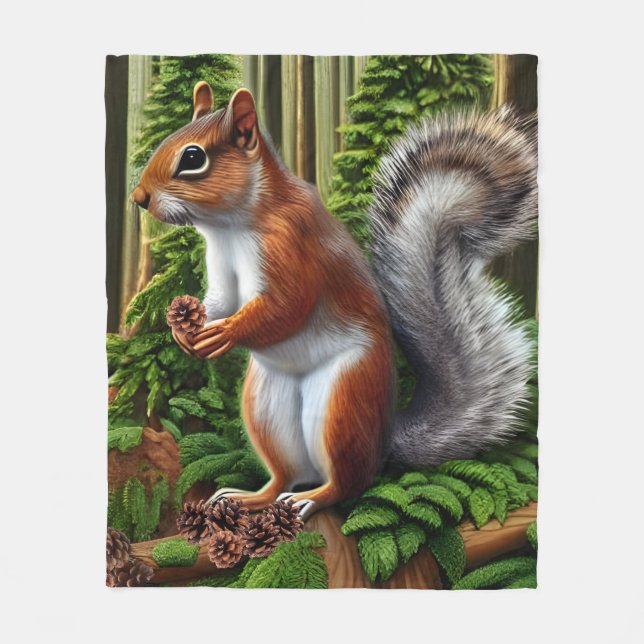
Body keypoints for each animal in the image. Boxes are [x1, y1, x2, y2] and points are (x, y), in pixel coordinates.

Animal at [131, 81, 537, 518]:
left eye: (193, 157)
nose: (138, 197)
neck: (230, 225)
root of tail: (383, 439)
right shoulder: (221, 268)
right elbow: (220, 301)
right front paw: (183, 329)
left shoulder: (292, 246)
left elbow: (287, 306)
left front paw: (227, 333)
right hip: (266, 405)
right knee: (285, 475)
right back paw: (249, 497)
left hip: (344, 401)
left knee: (347, 482)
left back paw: (310, 498)